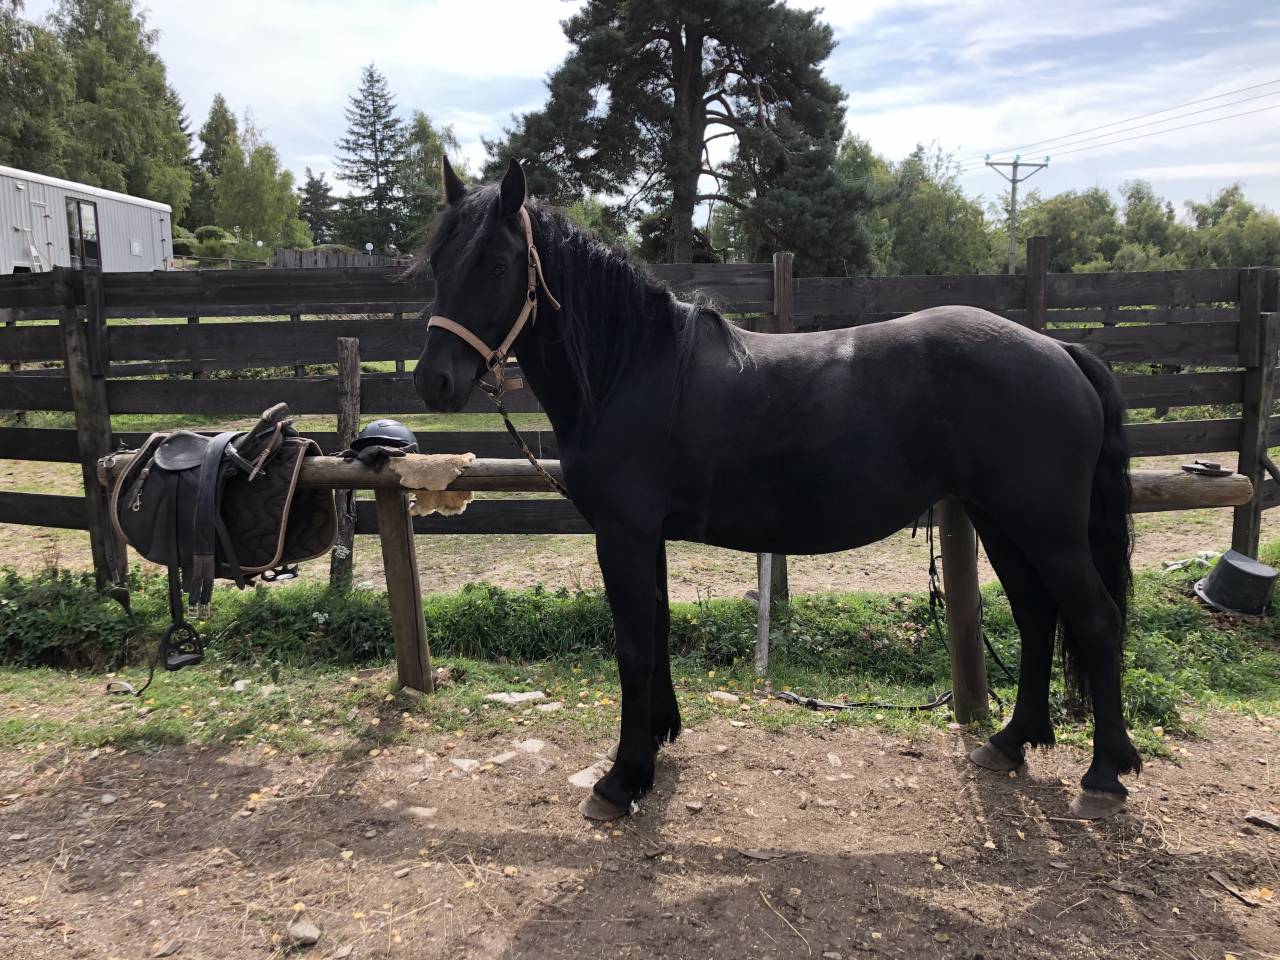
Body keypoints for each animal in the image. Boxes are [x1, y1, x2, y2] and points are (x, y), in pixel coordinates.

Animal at [413, 157, 1141, 822]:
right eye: (439, 263)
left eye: (497, 267)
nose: (434, 381)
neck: (632, 369)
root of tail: (1059, 350)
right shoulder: (647, 536)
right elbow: (659, 625)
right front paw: (659, 737)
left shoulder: (623, 532)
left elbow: (633, 645)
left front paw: (622, 780)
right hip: (1001, 520)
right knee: (1037, 615)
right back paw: (1012, 742)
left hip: (1045, 528)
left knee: (1095, 618)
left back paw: (1104, 773)